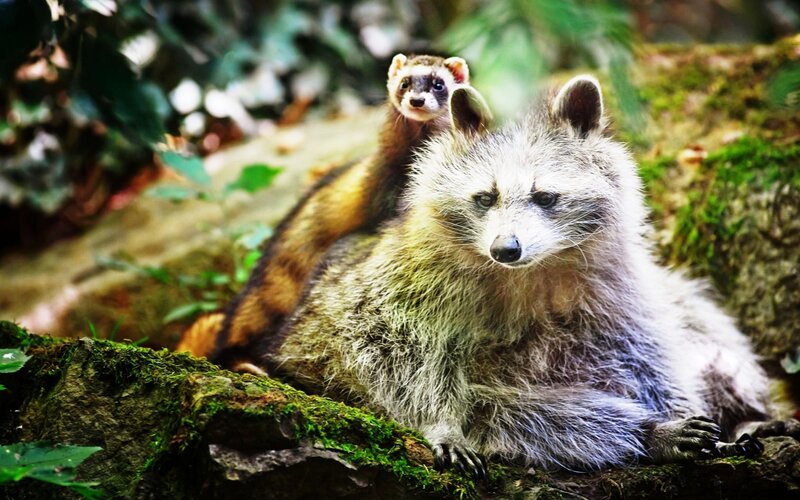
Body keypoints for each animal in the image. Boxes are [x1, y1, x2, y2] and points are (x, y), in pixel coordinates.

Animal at [269, 77, 795, 475]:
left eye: (545, 197)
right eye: (485, 197)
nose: (506, 249)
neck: (532, 269)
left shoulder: (613, 283)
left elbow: (642, 351)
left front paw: (681, 406)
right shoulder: (409, 288)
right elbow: (394, 354)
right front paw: (440, 420)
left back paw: (745, 417)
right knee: (519, 412)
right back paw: (643, 432)